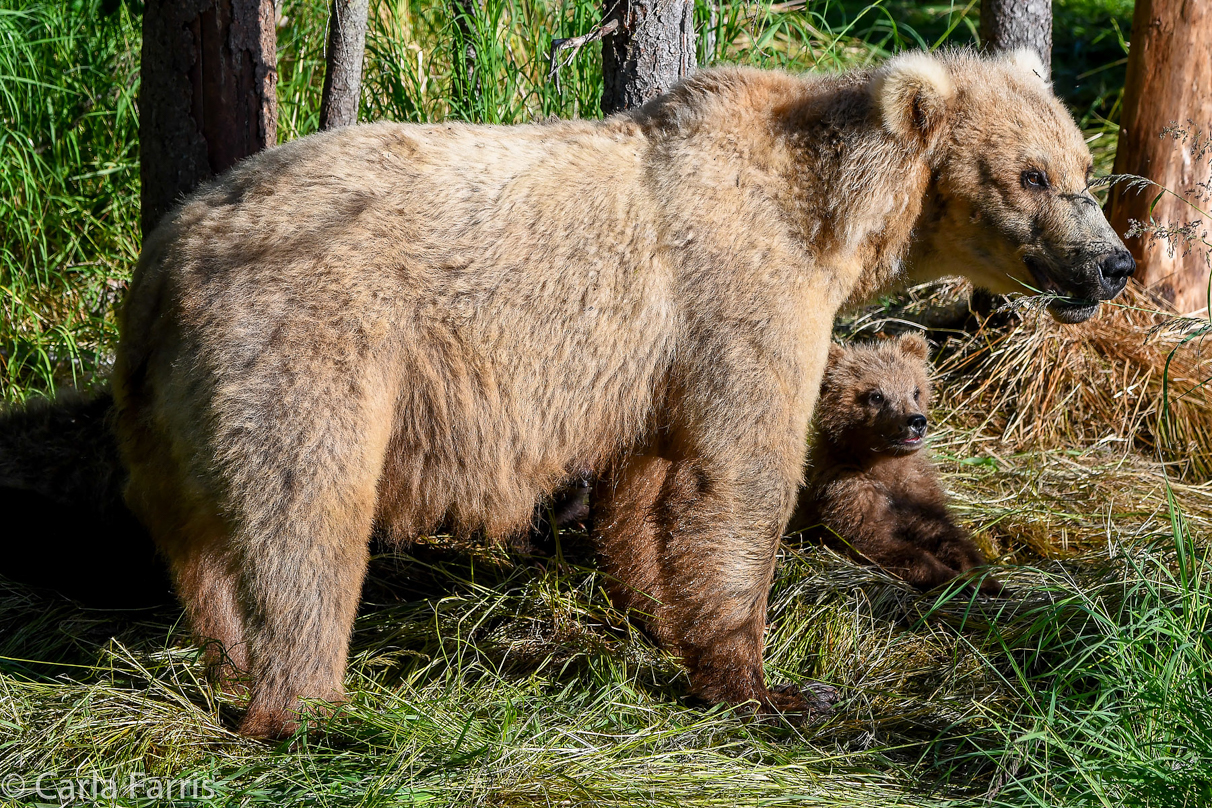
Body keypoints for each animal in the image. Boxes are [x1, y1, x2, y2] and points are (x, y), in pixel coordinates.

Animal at [115, 45, 1134, 741]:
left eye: (1083, 167)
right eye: (1031, 174)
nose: (1114, 264)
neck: (832, 214)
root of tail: (172, 249)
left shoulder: (654, 360)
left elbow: (647, 485)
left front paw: (657, 614)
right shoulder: (739, 294)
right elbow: (741, 473)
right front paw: (770, 684)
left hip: (162, 398)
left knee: (194, 534)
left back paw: (226, 662)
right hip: (310, 342)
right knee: (307, 515)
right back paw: (310, 704)